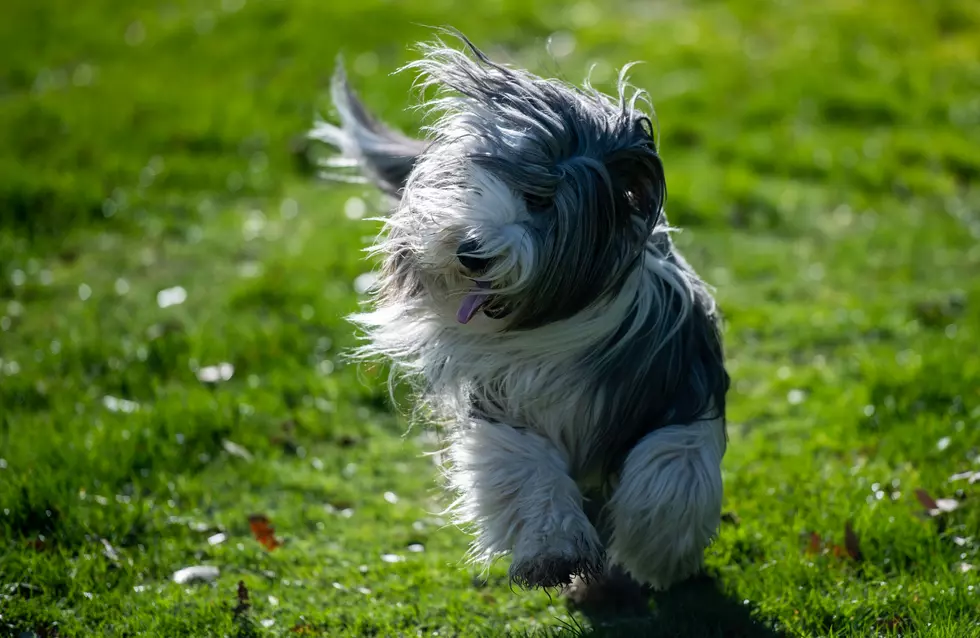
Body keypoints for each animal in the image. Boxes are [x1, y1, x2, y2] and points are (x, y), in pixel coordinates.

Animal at [310, 28, 732, 600]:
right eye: (476, 182)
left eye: (539, 200)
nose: (471, 251)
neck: (553, 322)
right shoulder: (502, 401)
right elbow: (527, 467)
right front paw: (553, 554)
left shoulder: (679, 385)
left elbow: (673, 462)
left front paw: (656, 552)